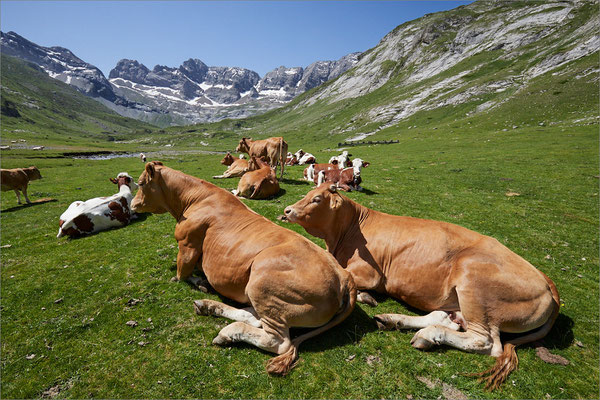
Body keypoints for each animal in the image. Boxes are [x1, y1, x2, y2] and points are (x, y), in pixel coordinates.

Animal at [130, 162, 356, 376]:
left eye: (140, 183)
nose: (132, 205)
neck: (194, 200)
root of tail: (344, 276)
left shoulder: (187, 244)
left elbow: (182, 274)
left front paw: (198, 281)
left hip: (262, 283)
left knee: (278, 341)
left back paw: (227, 332)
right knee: (253, 317)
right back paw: (209, 307)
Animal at [284, 185, 560, 390]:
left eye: (316, 199)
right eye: (306, 194)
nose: (287, 210)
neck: (347, 233)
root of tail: (546, 279)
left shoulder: (370, 274)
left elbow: (349, 280)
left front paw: (364, 296)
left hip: (474, 286)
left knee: (485, 341)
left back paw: (428, 335)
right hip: (456, 300)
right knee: (445, 318)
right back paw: (394, 321)